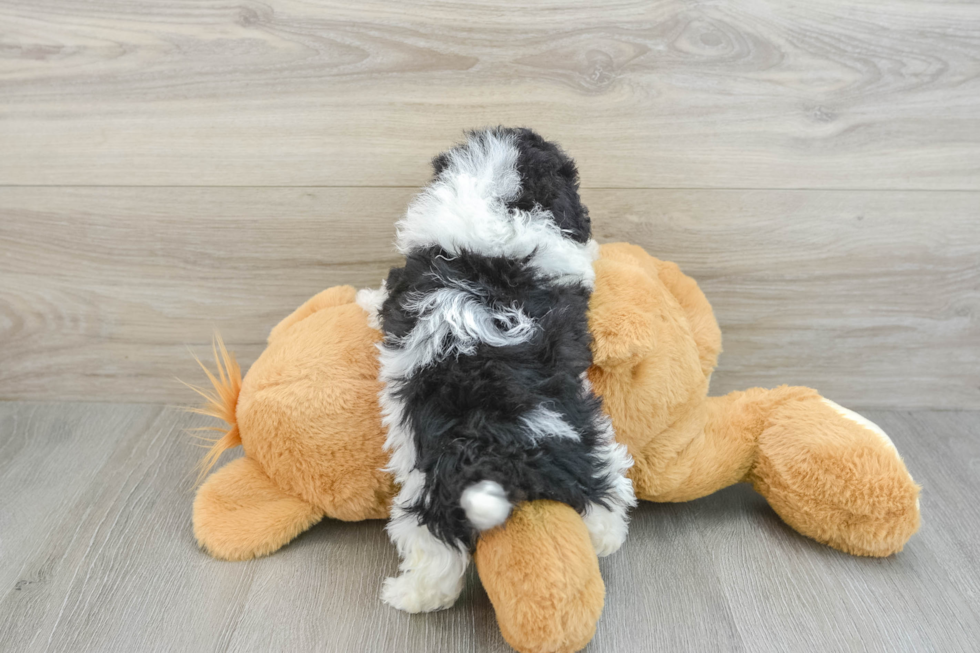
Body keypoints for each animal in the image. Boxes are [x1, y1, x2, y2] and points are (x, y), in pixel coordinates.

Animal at [356, 127, 640, 612]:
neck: (494, 198)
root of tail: (495, 444)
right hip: (580, 447)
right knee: (601, 495)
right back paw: (607, 538)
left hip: (433, 489)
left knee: (436, 552)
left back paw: (406, 596)